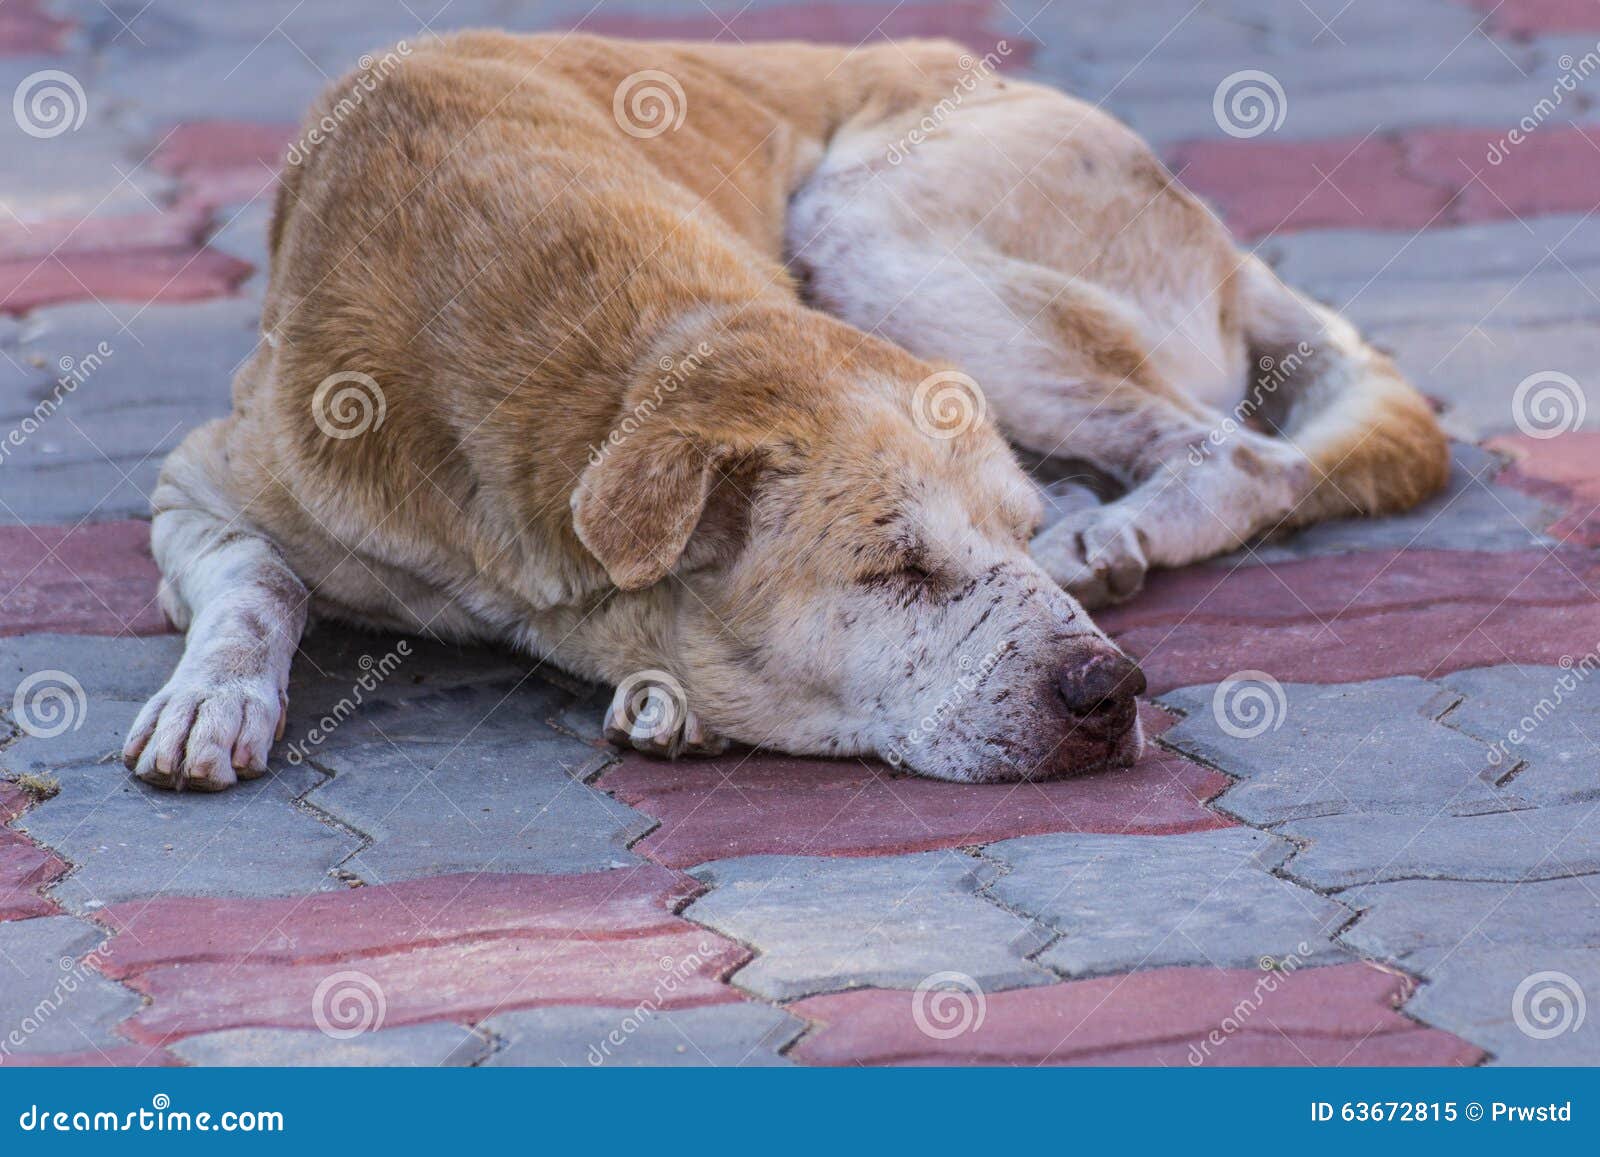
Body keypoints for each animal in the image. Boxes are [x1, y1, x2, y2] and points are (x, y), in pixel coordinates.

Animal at [121, 31, 1452, 790]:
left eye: (1010, 541)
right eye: (894, 569)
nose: (1110, 692)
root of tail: (1217, 236)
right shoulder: (203, 477)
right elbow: (260, 580)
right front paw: (213, 694)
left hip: (860, 215)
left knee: (1248, 453)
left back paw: (1112, 528)